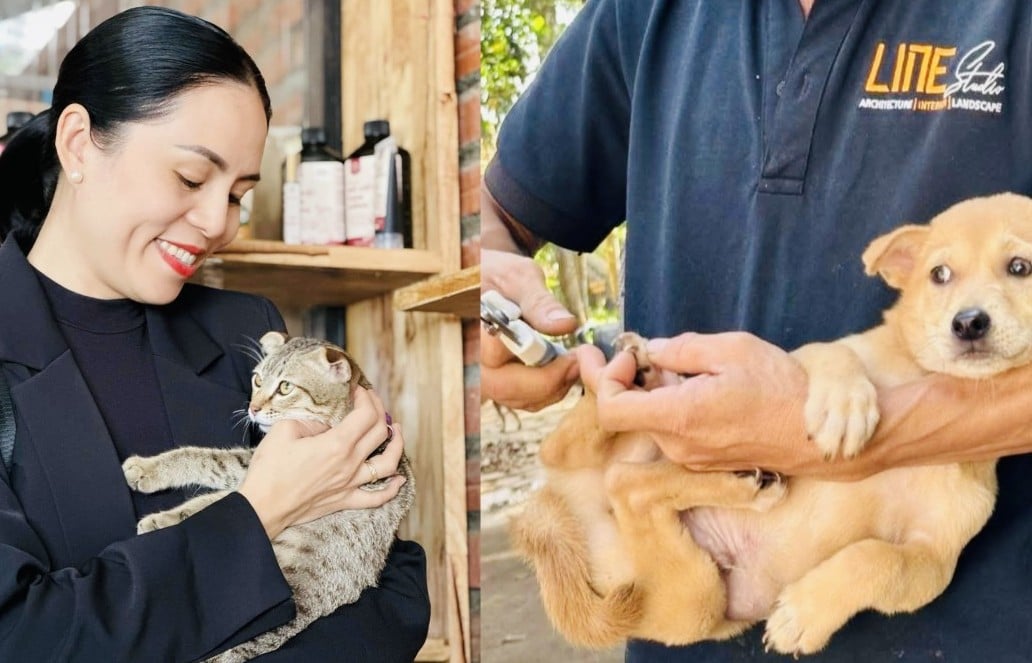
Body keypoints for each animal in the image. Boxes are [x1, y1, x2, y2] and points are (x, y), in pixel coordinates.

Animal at [120, 330, 410, 660]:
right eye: (258, 380)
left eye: (285, 387)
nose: (253, 408)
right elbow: (209, 468)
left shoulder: (260, 465)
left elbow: (211, 477)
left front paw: (155, 504)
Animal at [511, 192, 1032, 656]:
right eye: (939, 275)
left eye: (1020, 267)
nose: (969, 323)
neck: (920, 373)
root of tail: (557, 507)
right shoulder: (808, 357)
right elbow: (834, 354)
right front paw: (843, 406)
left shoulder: (931, 563)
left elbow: (877, 559)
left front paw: (803, 614)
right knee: (587, 450)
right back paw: (638, 371)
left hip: (695, 599)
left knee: (627, 483)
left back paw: (736, 478)